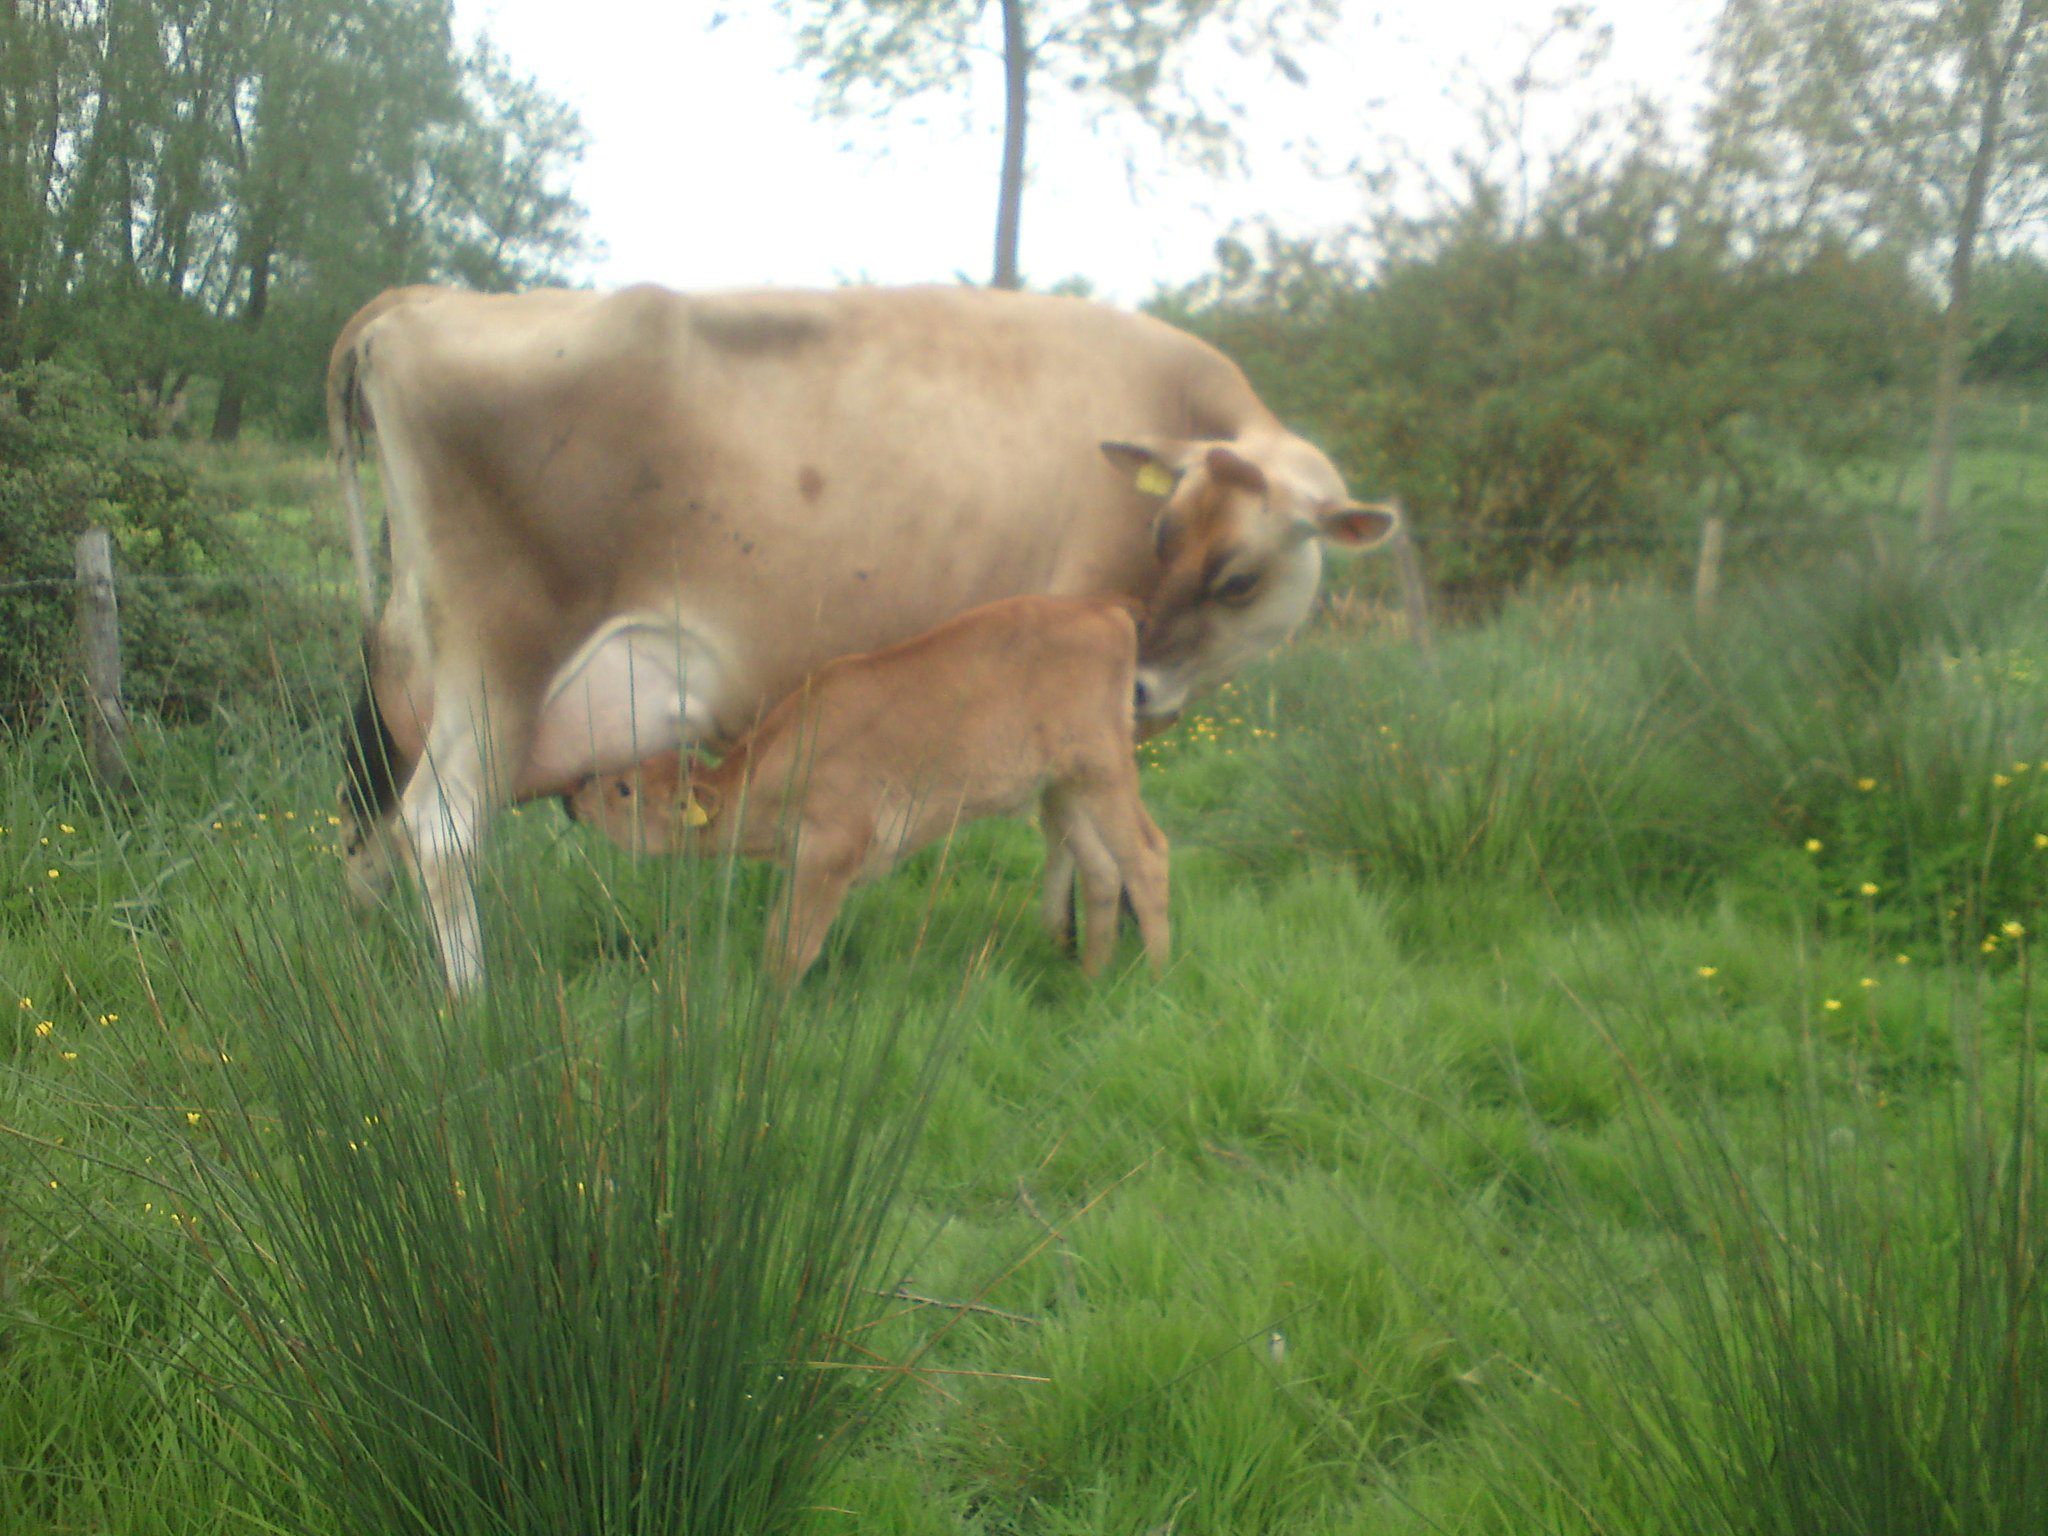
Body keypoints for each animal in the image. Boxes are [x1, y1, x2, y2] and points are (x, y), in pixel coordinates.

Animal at [563, 594, 1169, 984]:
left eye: (623, 789)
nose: (571, 799)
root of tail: (1105, 612)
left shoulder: (833, 849)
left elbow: (791, 944)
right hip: (1062, 787)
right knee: (1101, 868)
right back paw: (1091, 979)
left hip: (1104, 769)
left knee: (1146, 853)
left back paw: (1156, 978)